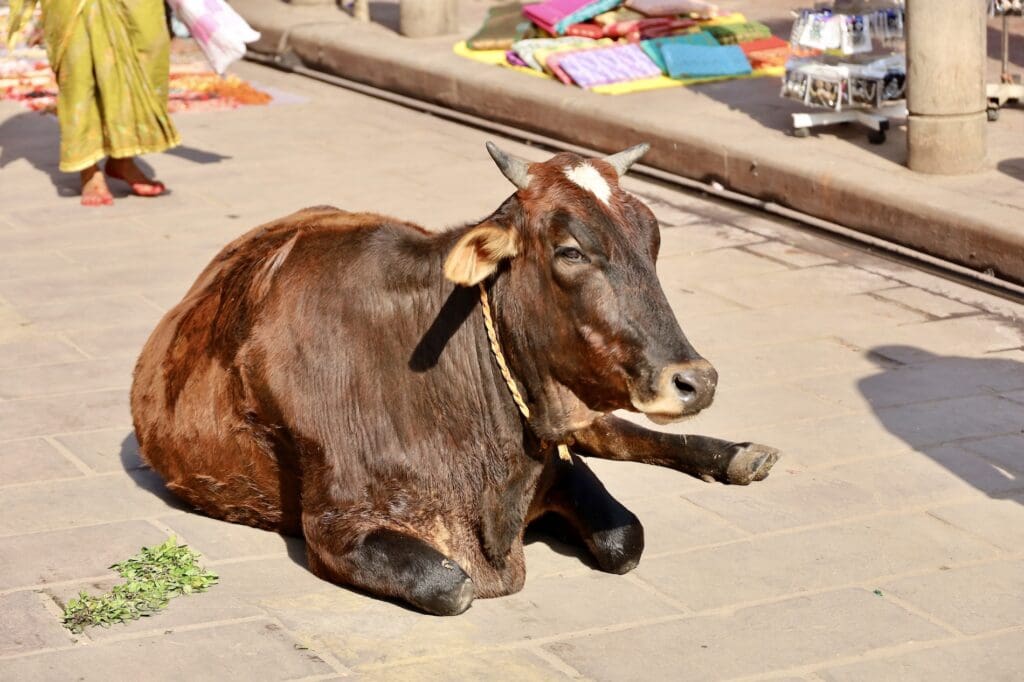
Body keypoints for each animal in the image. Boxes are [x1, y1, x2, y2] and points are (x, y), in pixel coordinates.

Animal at [130, 142, 779, 616]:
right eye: (570, 250)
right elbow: (452, 586)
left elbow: (626, 540)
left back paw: (739, 454)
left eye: (653, 241)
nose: (694, 379)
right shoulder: (336, 527)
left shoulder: (556, 456)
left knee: (618, 432)